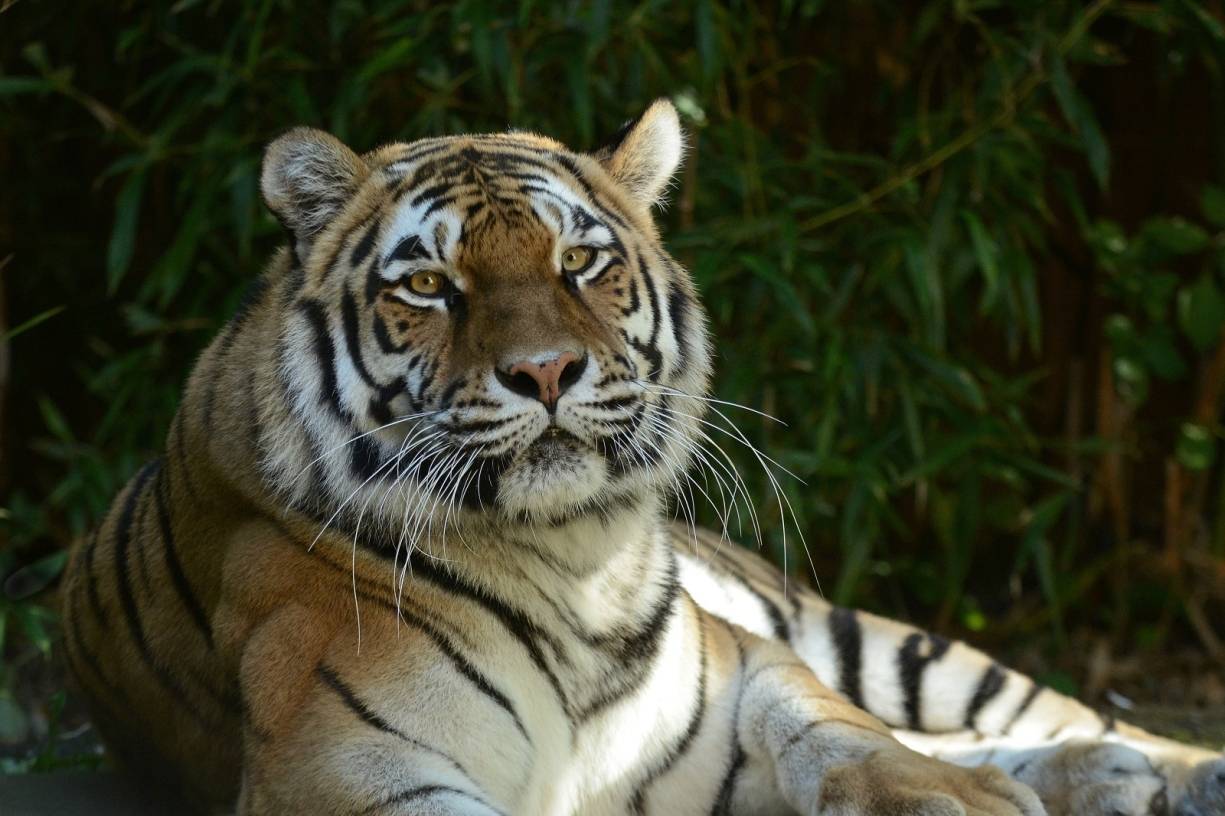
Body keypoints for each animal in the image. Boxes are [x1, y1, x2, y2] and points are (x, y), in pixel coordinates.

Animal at [59, 98, 1224, 816]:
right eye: (430, 285)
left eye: (579, 262)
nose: (543, 372)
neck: (575, 562)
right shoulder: (338, 767)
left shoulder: (741, 660)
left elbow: (844, 731)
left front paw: (957, 798)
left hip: (869, 635)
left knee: (1030, 709)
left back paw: (1152, 768)